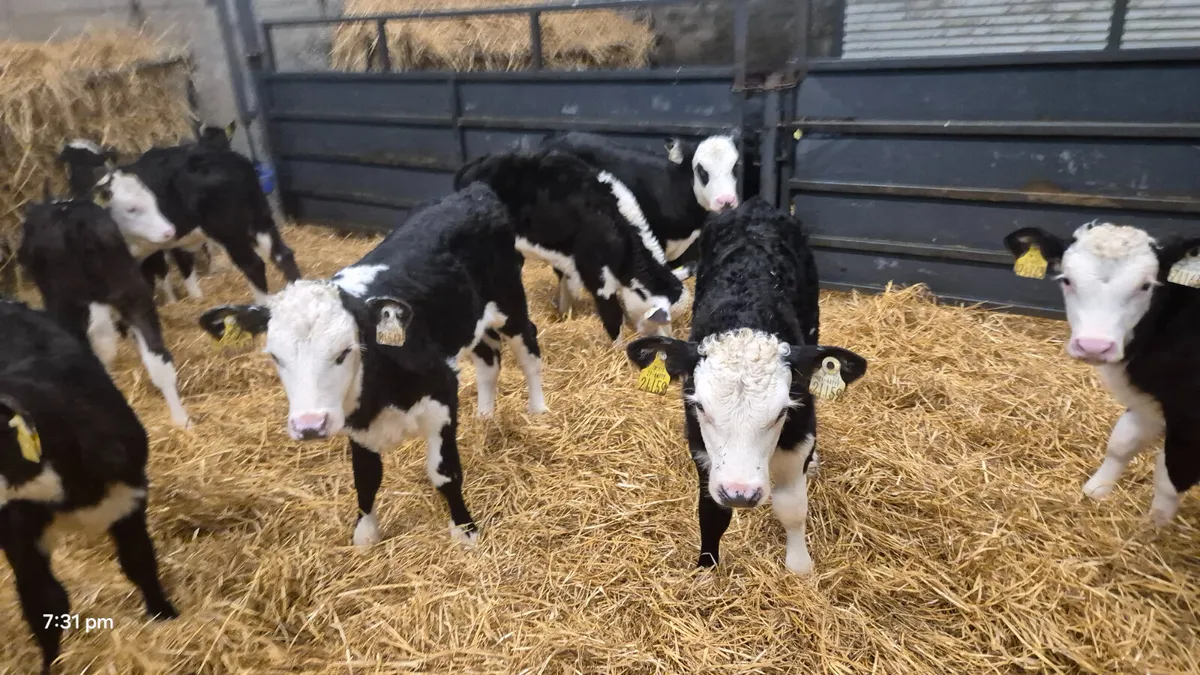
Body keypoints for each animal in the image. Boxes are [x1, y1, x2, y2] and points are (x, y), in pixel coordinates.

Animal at [1, 299, 178, 675]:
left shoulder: (128, 498)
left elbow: (140, 561)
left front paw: (164, 614)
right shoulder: (15, 528)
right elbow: (44, 601)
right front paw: (51, 664)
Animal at [196, 183, 547, 547]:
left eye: (344, 351)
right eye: (275, 356)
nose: (309, 426)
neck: (378, 392)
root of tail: (473, 192)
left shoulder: (442, 396)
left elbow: (444, 473)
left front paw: (464, 531)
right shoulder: (354, 423)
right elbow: (365, 478)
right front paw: (364, 535)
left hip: (510, 303)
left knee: (528, 350)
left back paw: (538, 409)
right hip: (469, 321)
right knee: (488, 359)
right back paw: (485, 414)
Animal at [454, 149, 688, 343]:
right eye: (661, 320)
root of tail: (471, 165)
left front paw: (564, 313)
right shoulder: (597, 276)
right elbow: (613, 318)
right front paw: (618, 350)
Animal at [624, 198, 867, 574]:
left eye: (781, 412)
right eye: (700, 407)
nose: (741, 493)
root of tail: (757, 205)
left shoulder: (800, 429)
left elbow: (791, 505)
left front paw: (799, 567)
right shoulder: (700, 447)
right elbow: (711, 511)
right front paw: (706, 569)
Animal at [1004, 222, 1200, 525]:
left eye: (1146, 285)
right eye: (1067, 280)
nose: (1094, 346)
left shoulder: (1189, 419)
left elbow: (1169, 477)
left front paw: (1154, 528)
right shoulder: (1148, 401)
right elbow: (1121, 443)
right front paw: (1096, 490)